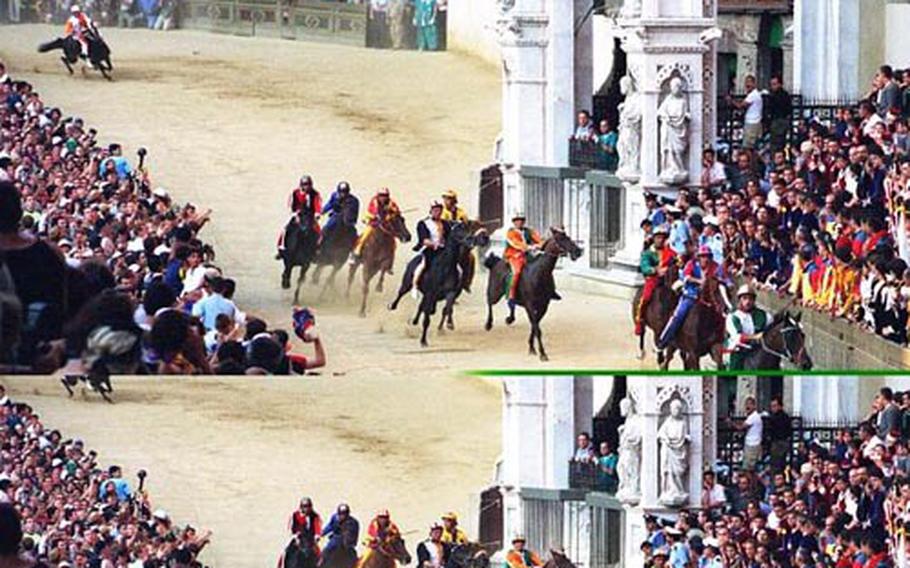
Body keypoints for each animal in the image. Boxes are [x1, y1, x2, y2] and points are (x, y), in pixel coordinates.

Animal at [484, 226, 584, 360]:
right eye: (560, 238)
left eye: (568, 237)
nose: (578, 251)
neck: (539, 273)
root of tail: (496, 262)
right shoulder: (530, 305)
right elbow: (537, 328)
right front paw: (542, 353)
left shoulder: (543, 306)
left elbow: (534, 325)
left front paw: (531, 347)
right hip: (495, 292)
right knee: (489, 301)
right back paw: (488, 324)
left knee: (511, 302)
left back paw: (510, 318)